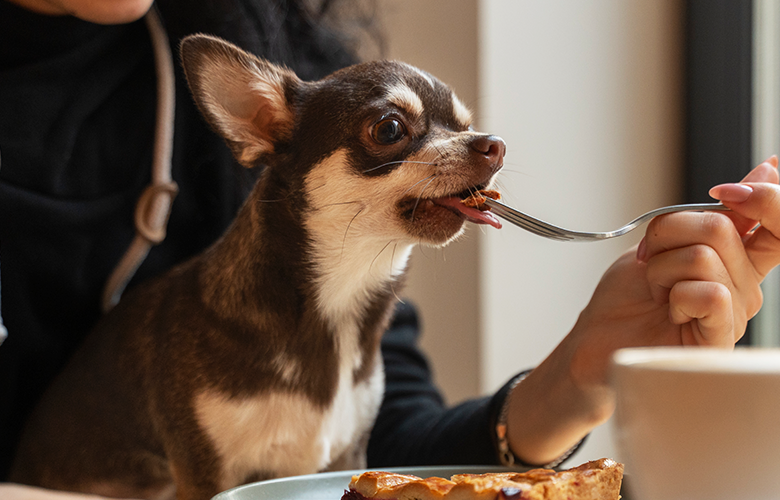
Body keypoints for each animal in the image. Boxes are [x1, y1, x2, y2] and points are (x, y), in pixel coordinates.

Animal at [10, 34, 506, 500]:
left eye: (465, 125)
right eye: (389, 129)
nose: (493, 144)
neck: (336, 305)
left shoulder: (347, 455)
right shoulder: (206, 471)